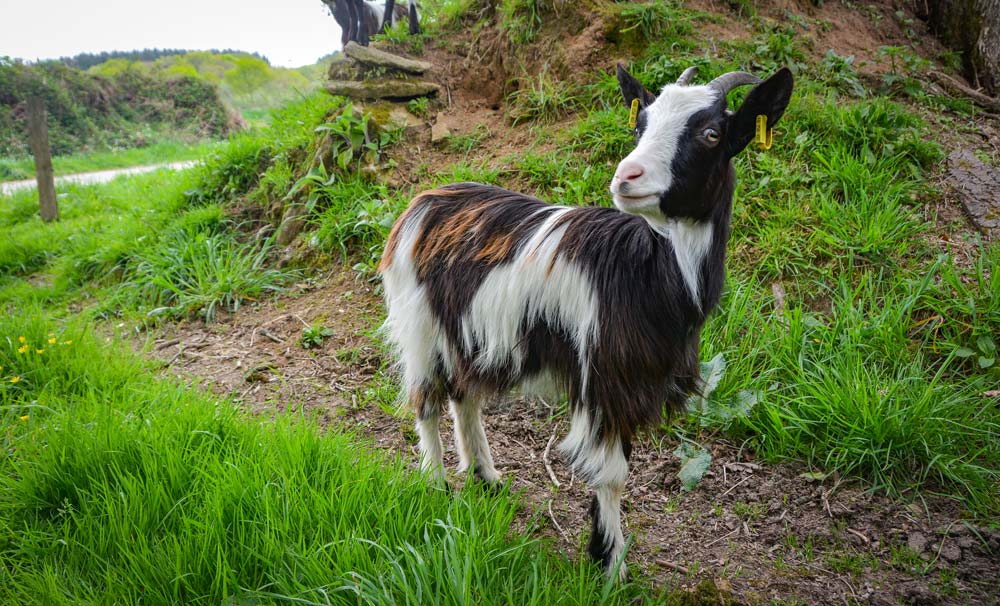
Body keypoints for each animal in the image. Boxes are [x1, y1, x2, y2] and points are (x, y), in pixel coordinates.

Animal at [378, 66, 792, 580]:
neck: (648, 271)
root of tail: (423, 200)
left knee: (463, 393)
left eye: (711, 134)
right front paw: (610, 565)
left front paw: (606, 556)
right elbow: (610, 473)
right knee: (427, 401)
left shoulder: (634, 381)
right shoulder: (602, 379)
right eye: (641, 125)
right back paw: (435, 483)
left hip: (468, 332)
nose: (626, 176)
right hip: (419, 323)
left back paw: (487, 477)